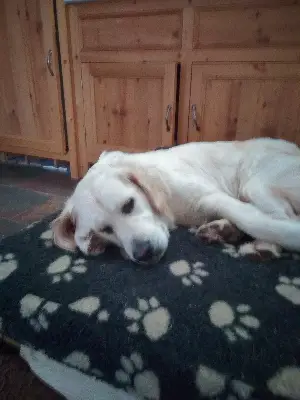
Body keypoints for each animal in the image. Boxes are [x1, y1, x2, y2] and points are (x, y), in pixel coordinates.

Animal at [51, 139, 300, 264]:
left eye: (129, 204)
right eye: (105, 229)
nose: (144, 254)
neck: (169, 202)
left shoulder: (212, 196)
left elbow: (257, 221)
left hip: (255, 183)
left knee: (283, 215)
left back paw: (263, 244)